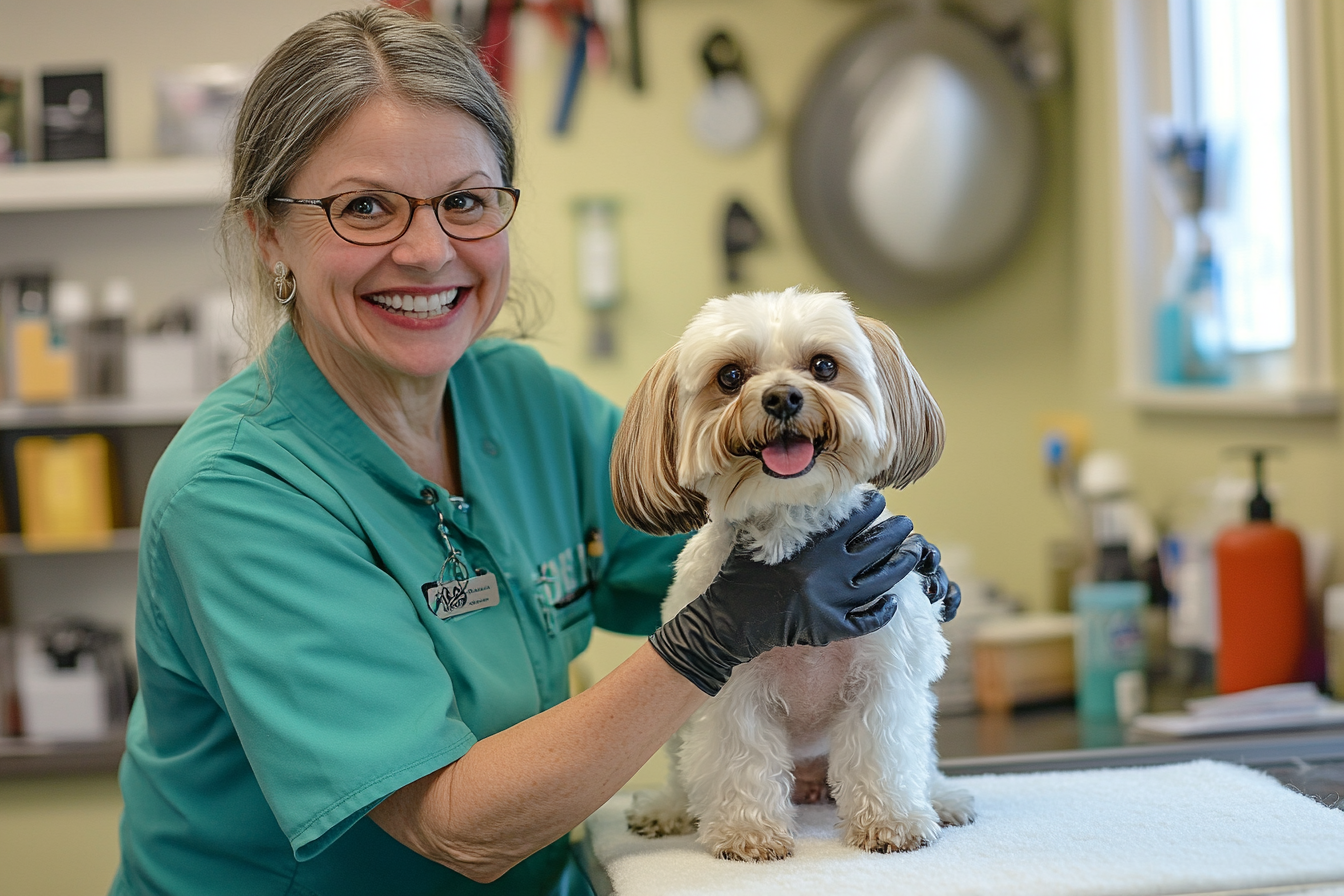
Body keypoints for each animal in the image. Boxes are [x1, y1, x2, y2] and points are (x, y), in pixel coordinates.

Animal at [612, 287, 978, 859]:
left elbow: (884, 752)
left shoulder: (884, 675)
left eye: (824, 366)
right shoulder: (728, 688)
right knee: (683, 771)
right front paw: (748, 832)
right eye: (730, 376)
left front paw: (892, 821)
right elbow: (740, 761)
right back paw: (669, 809)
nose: (782, 397)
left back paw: (940, 797)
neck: (796, 547)